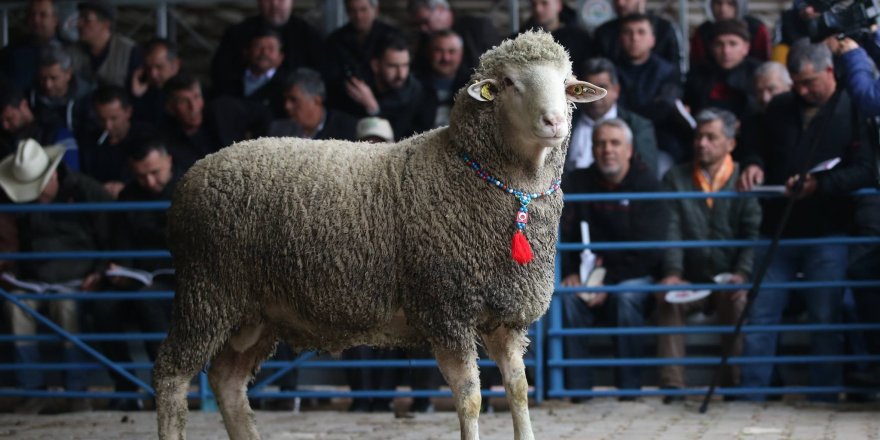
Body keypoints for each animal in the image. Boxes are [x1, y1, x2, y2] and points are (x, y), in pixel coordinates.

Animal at [153, 31, 604, 440]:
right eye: (509, 82)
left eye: (567, 84)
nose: (555, 121)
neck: (474, 174)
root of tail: (193, 175)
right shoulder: (445, 310)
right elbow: (471, 398)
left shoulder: (504, 316)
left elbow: (519, 390)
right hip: (208, 290)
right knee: (171, 376)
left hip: (254, 313)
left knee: (227, 382)